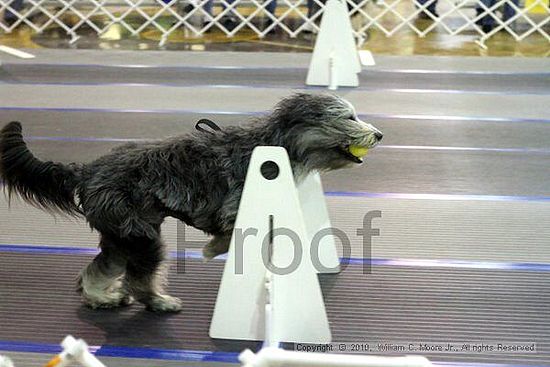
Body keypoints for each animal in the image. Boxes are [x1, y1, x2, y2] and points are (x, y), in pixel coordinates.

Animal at [1, 93, 384, 312]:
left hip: (123, 236)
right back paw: (159, 302)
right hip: (140, 237)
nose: (379, 134)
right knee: (138, 280)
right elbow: (238, 231)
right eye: (349, 117)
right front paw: (213, 248)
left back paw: (103, 298)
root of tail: (87, 170)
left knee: (96, 271)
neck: (276, 144)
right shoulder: (235, 206)